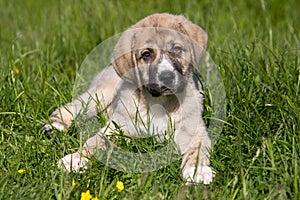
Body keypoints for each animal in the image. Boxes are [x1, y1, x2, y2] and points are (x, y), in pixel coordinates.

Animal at [43, 12, 214, 184]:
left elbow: (197, 150)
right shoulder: (116, 126)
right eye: (146, 54)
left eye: (177, 49)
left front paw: (197, 170)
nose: (167, 77)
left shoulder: (194, 129)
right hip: (101, 94)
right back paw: (55, 125)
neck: (161, 102)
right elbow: (95, 141)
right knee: (76, 105)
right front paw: (74, 159)